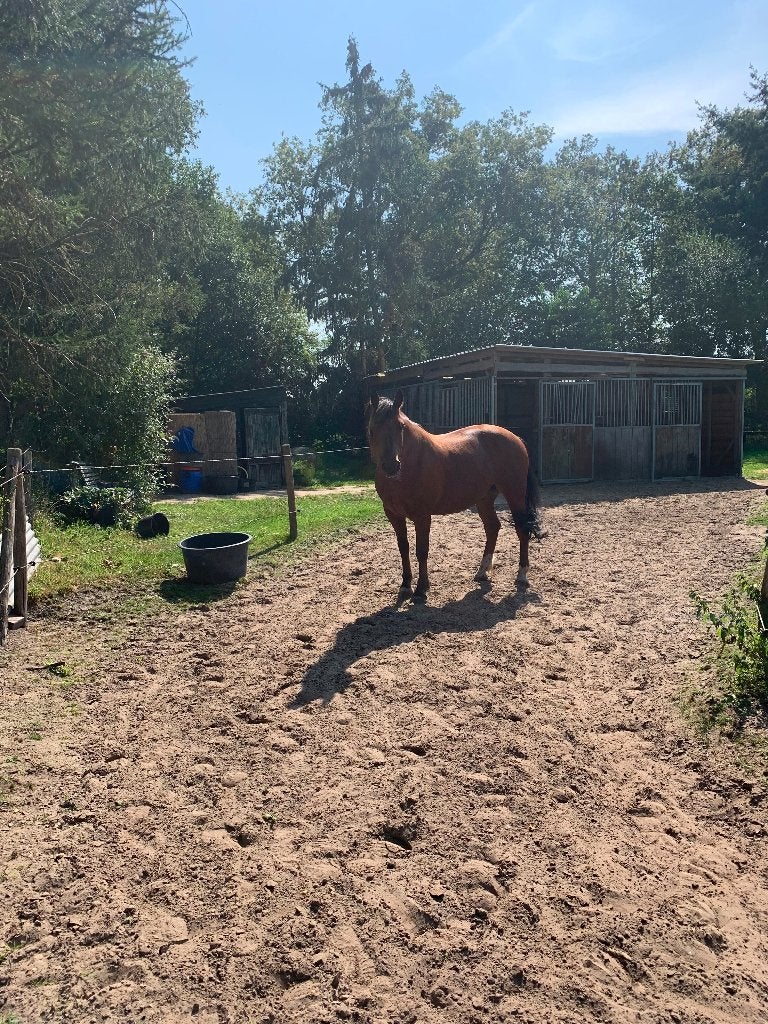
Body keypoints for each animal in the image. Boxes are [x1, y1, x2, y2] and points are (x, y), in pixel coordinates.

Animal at [366, 391, 542, 603]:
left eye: (400, 426)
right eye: (372, 428)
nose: (391, 466)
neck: (411, 465)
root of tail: (515, 438)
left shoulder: (422, 516)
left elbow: (422, 550)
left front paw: (421, 589)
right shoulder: (394, 515)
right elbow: (403, 548)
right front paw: (405, 586)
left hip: (514, 493)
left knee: (522, 529)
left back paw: (522, 575)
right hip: (484, 499)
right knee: (493, 527)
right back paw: (482, 572)